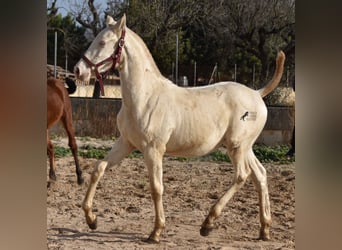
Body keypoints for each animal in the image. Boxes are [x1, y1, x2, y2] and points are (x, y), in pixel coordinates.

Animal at [75, 14, 286, 243]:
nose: (78, 70)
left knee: (242, 175)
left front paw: (156, 232)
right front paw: (91, 219)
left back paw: (208, 224)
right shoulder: (126, 143)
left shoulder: (153, 149)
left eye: (103, 42)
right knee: (260, 175)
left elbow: (156, 188)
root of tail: (257, 93)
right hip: (245, 148)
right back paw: (264, 229)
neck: (145, 97)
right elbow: (99, 169)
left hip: (236, 147)